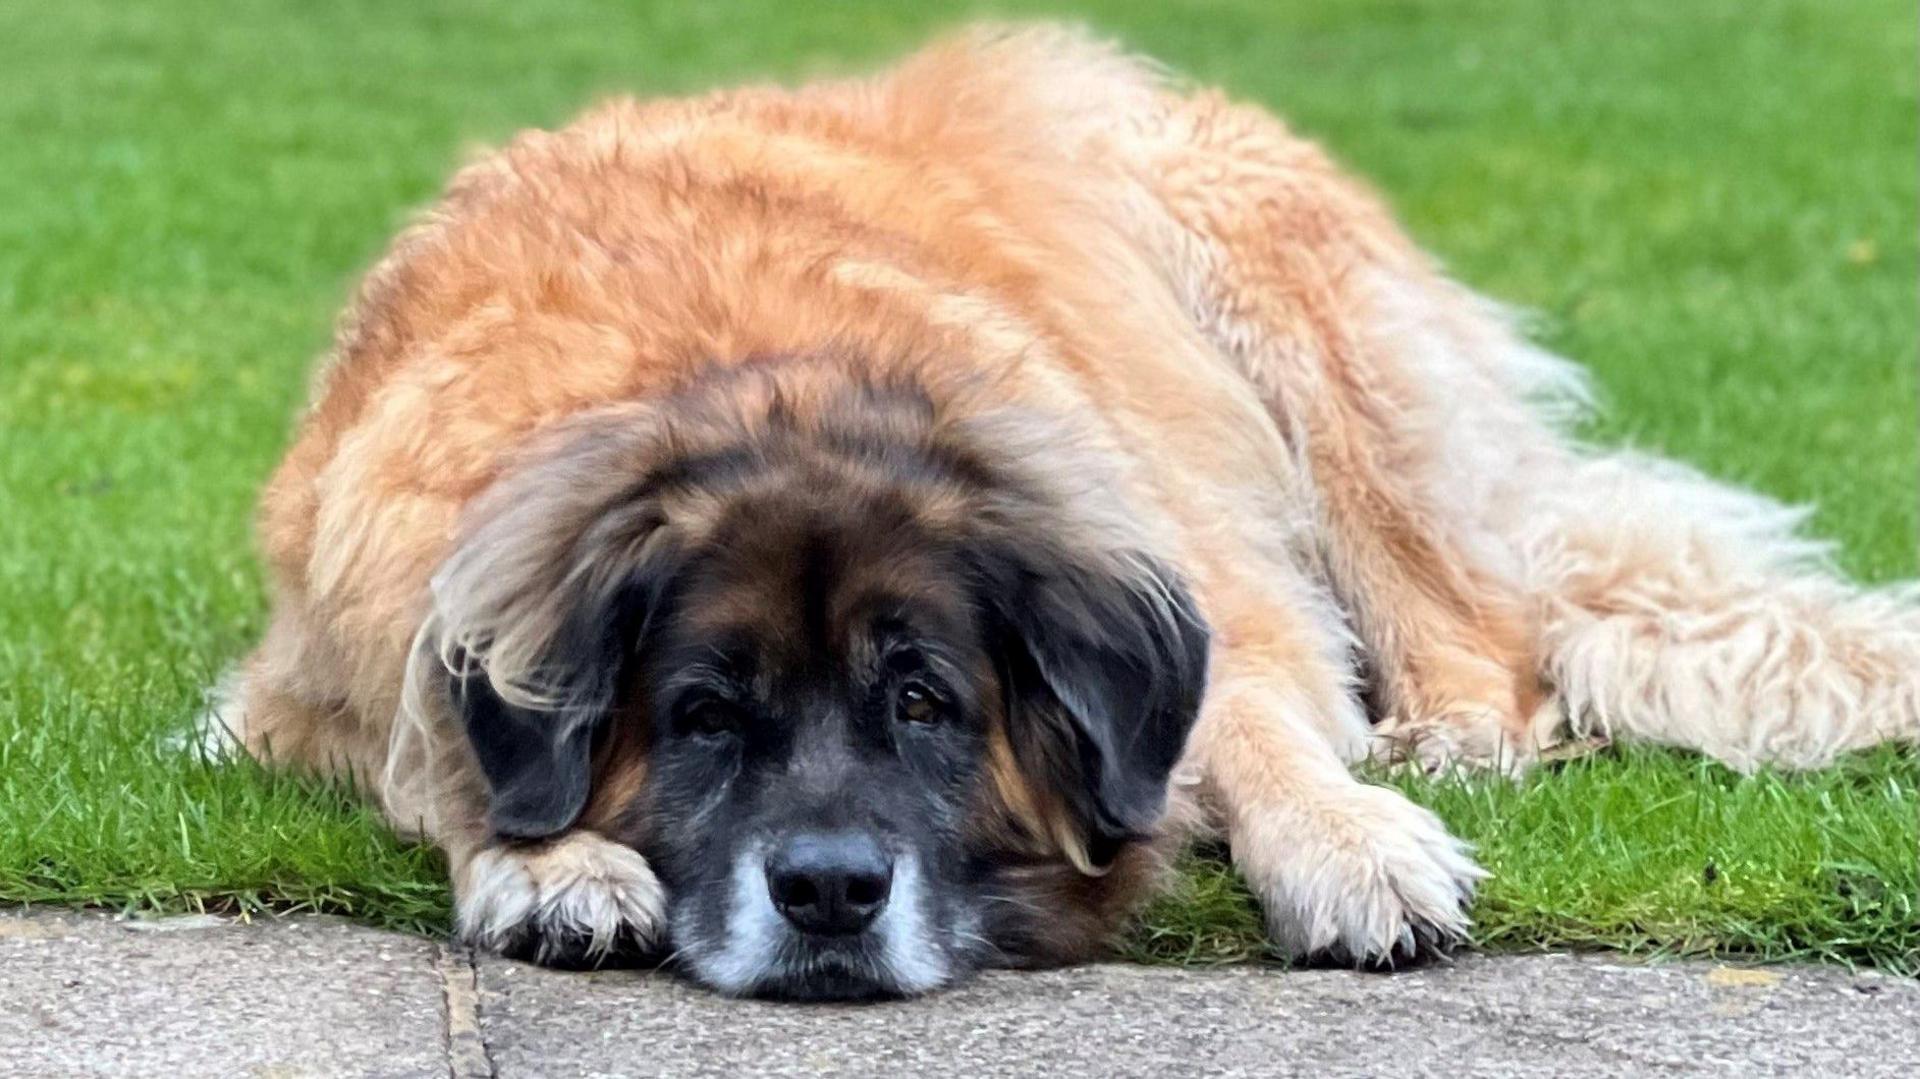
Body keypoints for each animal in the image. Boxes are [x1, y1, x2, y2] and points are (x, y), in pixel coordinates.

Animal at [210, 25, 1920, 998]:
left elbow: (1244, 715)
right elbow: (419, 746)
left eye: (923, 701)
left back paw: (1447, 739)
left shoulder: (1179, 563)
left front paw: (1348, 844)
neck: (745, 382)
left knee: (1479, 626)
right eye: (701, 715)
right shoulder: (300, 675)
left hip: (1272, 307)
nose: (829, 888)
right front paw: (542, 862)